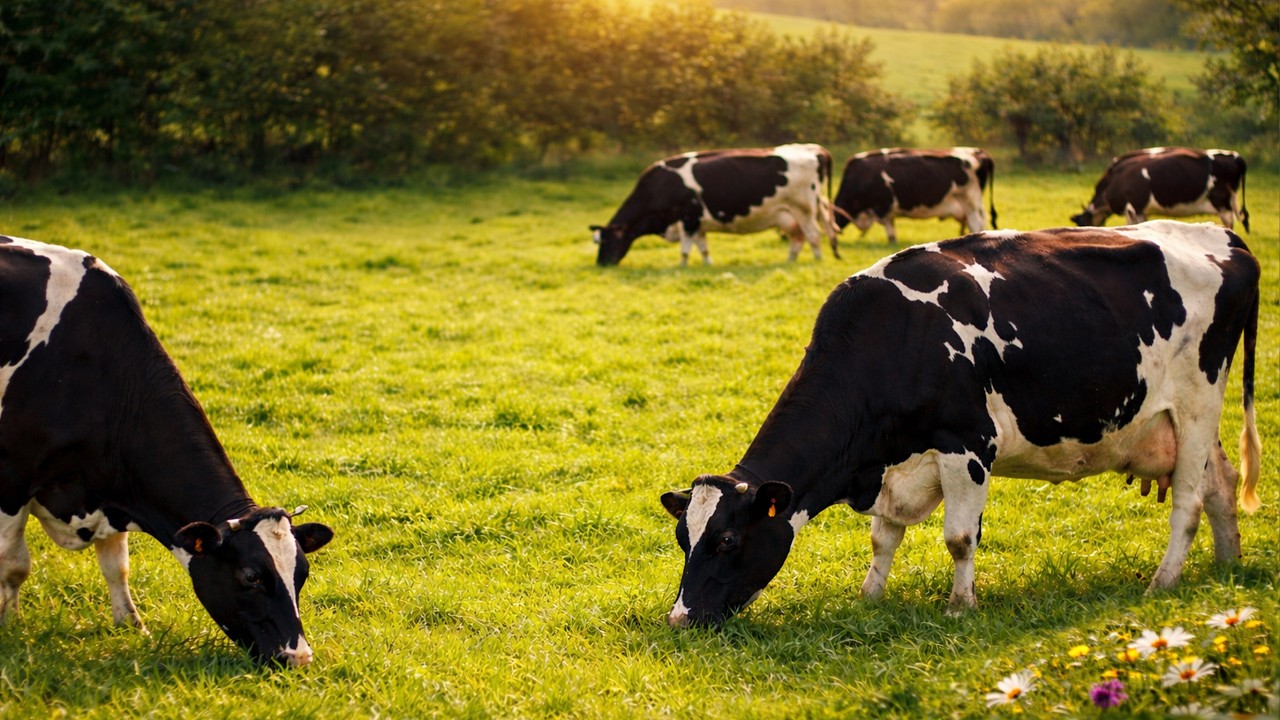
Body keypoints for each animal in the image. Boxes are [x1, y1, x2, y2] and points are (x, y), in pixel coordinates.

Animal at [0, 236, 335, 667]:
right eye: (250, 577)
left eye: (301, 574)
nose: (299, 657)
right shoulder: (11, 479)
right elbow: (14, 565)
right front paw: (9, 625)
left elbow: (116, 566)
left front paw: (132, 626)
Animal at [591, 144, 840, 266]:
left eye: (609, 240)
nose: (601, 263)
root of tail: (814, 150)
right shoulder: (698, 223)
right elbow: (703, 247)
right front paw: (707, 264)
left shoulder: (688, 218)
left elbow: (685, 249)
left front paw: (682, 267)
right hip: (793, 212)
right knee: (799, 237)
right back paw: (790, 261)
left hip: (804, 208)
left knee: (813, 235)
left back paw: (817, 260)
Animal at [659, 220, 1261, 628]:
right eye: (682, 537)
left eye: (728, 539)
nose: (681, 618)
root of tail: (1223, 235)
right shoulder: (899, 464)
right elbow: (884, 537)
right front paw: (870, 597)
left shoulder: (966, 444)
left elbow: (959, 538)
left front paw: (959, 607)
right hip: (1176, 421)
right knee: (1220, 484)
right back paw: (1226, 565)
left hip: (1198, 401)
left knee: (1188, 501)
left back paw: (1163, 583)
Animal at [833, 147, 997, 244]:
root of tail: (978, 152)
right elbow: (891, 228)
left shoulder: (883, 206)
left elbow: (889, 229)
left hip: (970, 200)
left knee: (977, 223)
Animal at [1072, 147, 1250, 231]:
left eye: (1082, 224)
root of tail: (1236, 156)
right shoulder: (1136, 210)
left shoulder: (1134, 207)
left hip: (1221, 202)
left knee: (1229, 223)